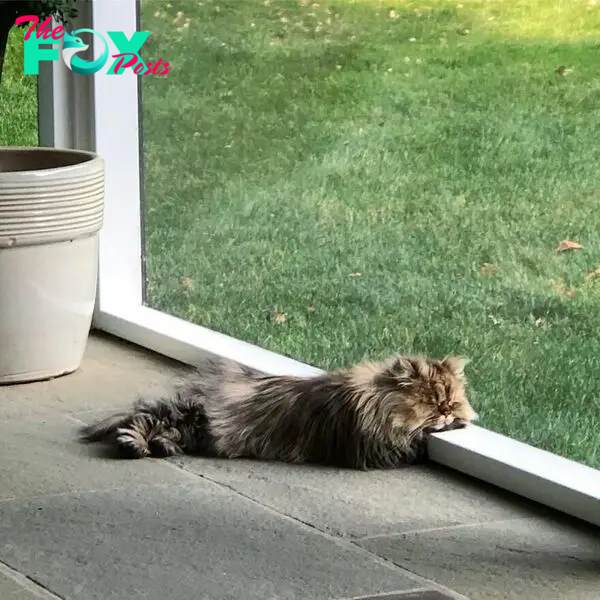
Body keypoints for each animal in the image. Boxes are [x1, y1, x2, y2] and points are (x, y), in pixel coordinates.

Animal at [78, 352, 478, 468]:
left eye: (450, 402)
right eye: (433, 406)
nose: (447, 412)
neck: (374, 396)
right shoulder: (373, 448)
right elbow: (411, 445)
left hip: (186, 425)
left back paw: (159, 447)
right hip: (181, 415)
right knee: (137, 420)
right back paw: (134, 445)